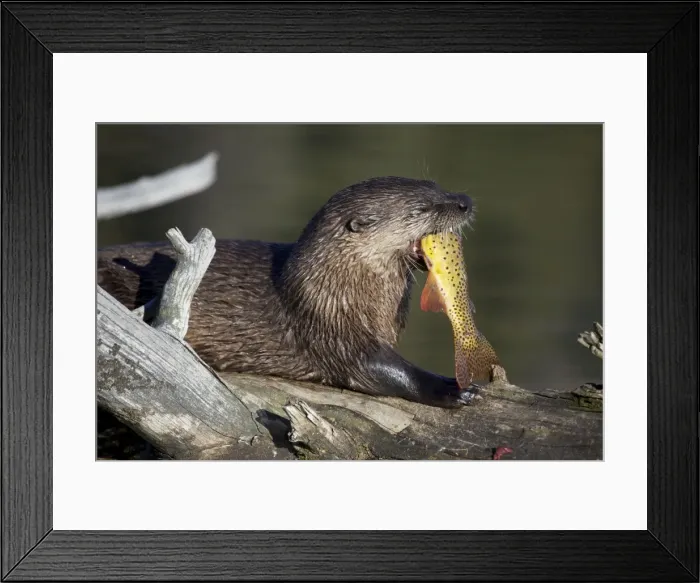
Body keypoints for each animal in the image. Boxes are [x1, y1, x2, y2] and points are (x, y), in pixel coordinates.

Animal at [98, 176, 478, 408]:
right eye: (421, 209)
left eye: (438, 187)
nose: (465, 201)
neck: (336, 284)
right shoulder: (328, 325)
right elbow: (380, 369)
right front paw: (453, 389)